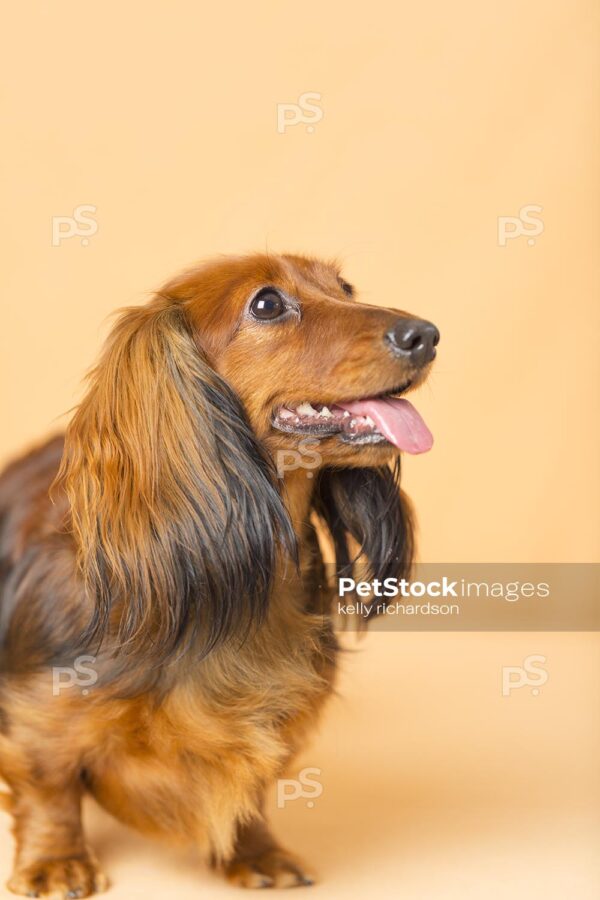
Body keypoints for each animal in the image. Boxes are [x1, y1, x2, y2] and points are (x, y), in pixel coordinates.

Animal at [0, 253, 438, 892]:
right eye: (266, 304)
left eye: (346, 287)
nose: (427, 335)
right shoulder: (37, 712)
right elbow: (48, 785)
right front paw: (56, 863)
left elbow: (252, 785)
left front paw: (256, 852)